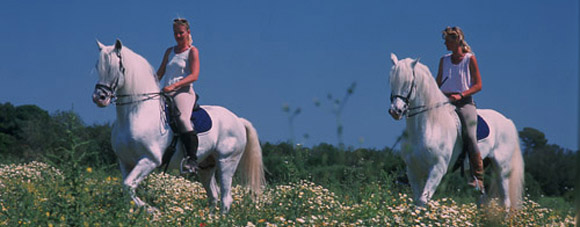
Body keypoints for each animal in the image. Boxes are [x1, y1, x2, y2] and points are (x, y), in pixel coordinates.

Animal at [91, 40, 266, 213]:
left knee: (226, 198)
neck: (137, 112)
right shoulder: (125, 162)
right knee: (213, 195)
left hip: (227, 162)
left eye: (113, 67)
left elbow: (128, 186)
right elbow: (127, 189)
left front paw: (152, 210)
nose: (99, 98)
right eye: (98, 66)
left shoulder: (150, 160)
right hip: (206, 166)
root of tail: (238, 120)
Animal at [388, 53, 524, 209]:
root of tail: (507, 121)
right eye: (391, 81)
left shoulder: (437, 169)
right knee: (482, 200)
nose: (395, 111)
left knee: (505, 202)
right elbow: (417, 201)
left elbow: (422, 201)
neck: (429, 126)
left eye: (408, 83)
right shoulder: (413, 170)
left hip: (502, 169)